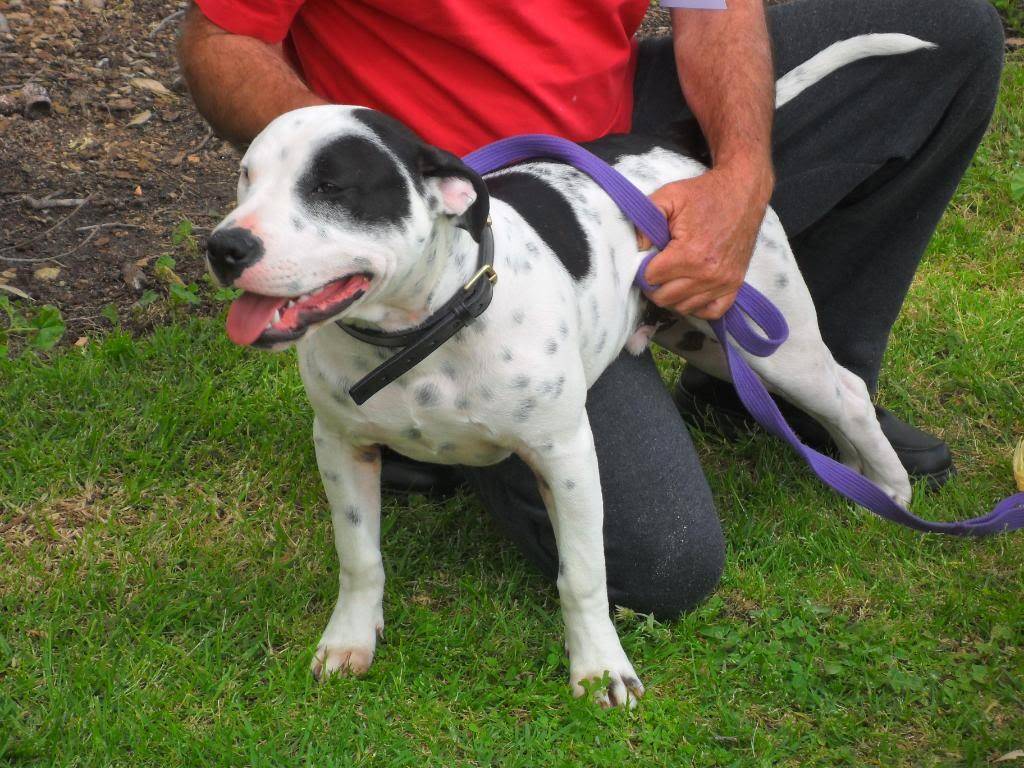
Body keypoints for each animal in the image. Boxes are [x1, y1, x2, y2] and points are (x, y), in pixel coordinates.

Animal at [205, 34, 929, 708]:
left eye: (331, 187)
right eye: (245, 177)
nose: (224, 246)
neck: (425, 331)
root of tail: (674, 145)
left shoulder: (566, 454)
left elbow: (582, 574)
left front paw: (601, 669)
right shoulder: (342, 446)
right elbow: (360, 558)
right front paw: (350, 639)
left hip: (771, 338)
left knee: (848, 391)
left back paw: (888, 490)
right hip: (704, 336)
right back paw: (855, 470)